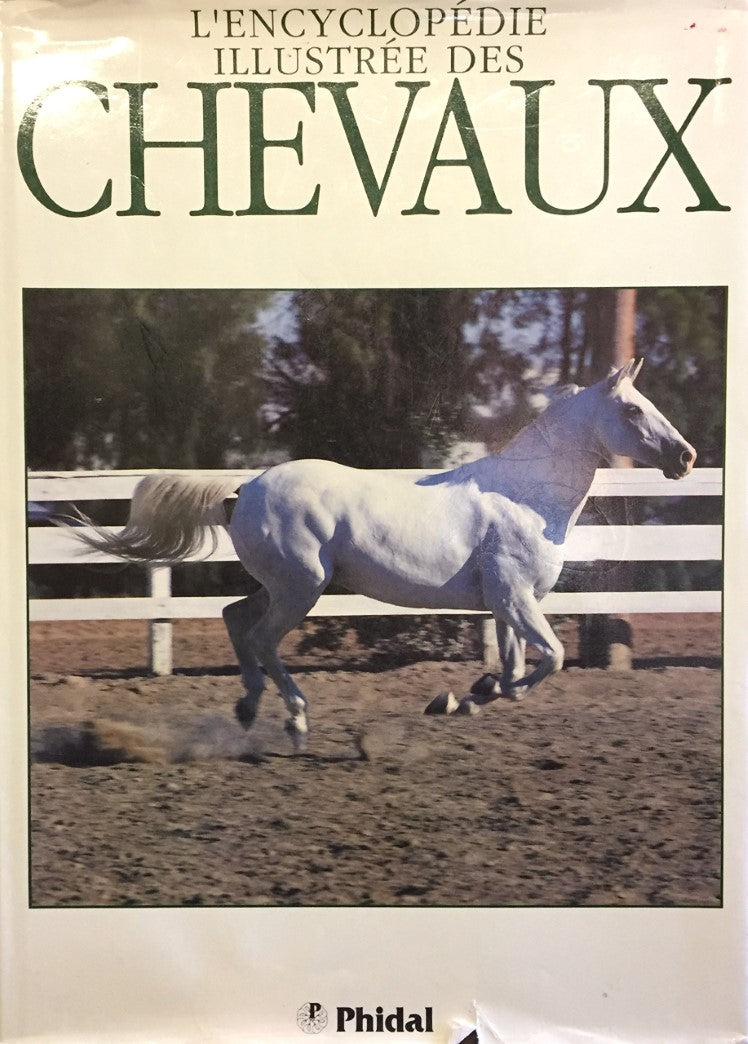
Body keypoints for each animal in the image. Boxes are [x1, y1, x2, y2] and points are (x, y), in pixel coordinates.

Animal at [75, 358, 696, 749]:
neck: (529, 497)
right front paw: (462, 698)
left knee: (235, 618)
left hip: (284, 584)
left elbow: (518, 665)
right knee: (262, 638)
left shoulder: (506, 603)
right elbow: (553, 659)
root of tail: (245, 488)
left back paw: (249, 708)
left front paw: (469, 697)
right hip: (302, 587)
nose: (686, 457)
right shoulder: (517, 599)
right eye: (634, 410)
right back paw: (295, 721)